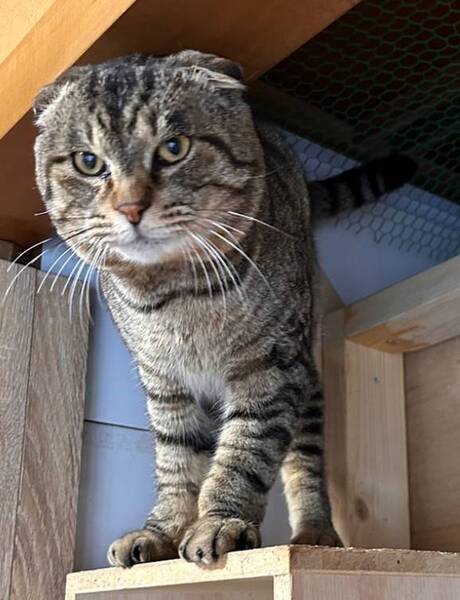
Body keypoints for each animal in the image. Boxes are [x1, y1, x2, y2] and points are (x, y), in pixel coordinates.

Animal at [33, 51, 416, 567]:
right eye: (89, 162)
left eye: (174, 148)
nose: (131, 207)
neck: (174, 296)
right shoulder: (164, 385)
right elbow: (176, 461)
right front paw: (161, 531)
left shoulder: (271, 369)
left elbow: (244, 451)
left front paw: (220, 520)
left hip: (306, 368)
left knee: (305, 460)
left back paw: (314, 531)